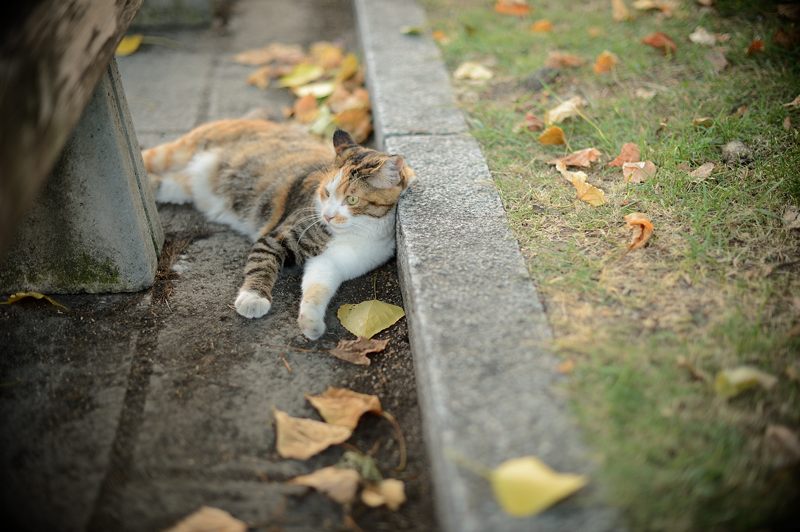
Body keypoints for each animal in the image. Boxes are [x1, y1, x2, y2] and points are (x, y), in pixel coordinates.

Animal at [142, 118, 412, 338]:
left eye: (352, 199)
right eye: (326, 192)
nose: (327, 216)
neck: (357, 233)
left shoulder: (333, 262)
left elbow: (317, 287)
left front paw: (311, 323)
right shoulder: (277, 237)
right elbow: (262, 264)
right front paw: (253, 298)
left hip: (179, 185)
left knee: (162, 184)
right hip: (178, 151)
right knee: (151, 156)